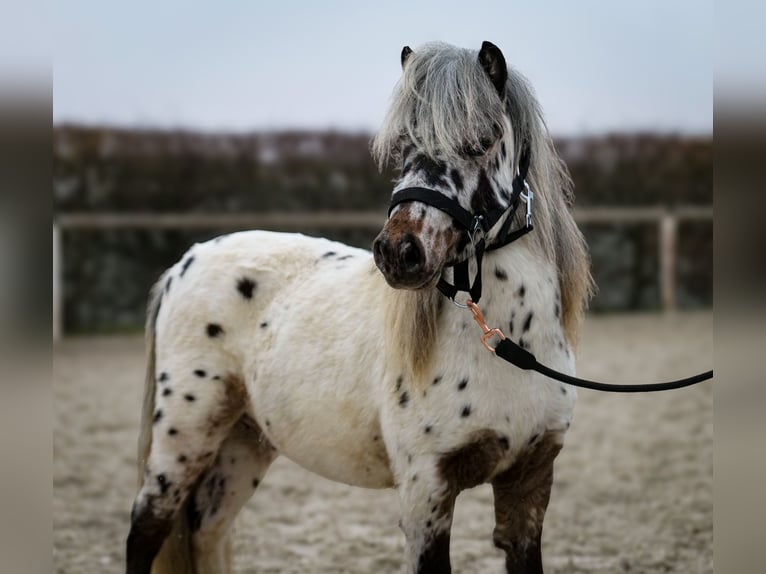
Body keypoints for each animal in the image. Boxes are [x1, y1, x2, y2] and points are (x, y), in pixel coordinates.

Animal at [126, 41, 592, 574]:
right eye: (405, 145)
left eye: (483, 140)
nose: (398, 252)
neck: (511, 348)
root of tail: (188, 261)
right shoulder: (426, 489)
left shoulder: (530, 481)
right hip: (183, 437)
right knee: (145, 529)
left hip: (244, 444)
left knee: (206, 531)